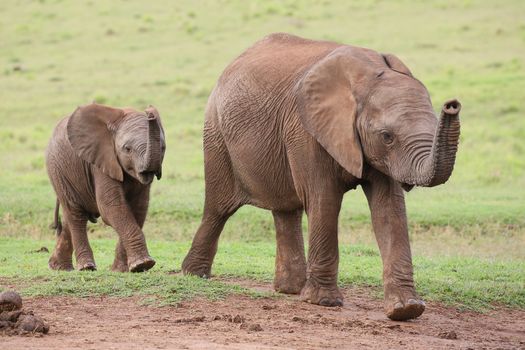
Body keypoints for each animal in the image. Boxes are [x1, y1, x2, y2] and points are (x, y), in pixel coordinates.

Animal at [47, 104, 166, 274]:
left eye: (163, 148)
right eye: (127, 149)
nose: (149, 111)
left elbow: (138, 208)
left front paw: (124, 269)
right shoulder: (101, 161)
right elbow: (111, 207)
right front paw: (143, 264)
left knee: (69, 217)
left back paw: (59, 267)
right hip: (58, 170)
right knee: (76, 215)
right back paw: (86, 267)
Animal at [182, 34, 460, 322]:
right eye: (387, 136)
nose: (452, 105)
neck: (366, 76)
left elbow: (389, 209)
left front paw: (407, 309)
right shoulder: (306, 129)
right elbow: (324, 199)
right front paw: (323, 302)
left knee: (285, 209)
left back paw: (289, 289)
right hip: (216, 134)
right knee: (219, 208)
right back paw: (194, 275)